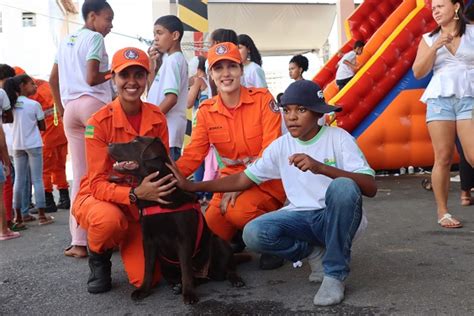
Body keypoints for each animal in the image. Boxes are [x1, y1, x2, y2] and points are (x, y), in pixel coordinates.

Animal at [108, 136, 244, 304]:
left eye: (135, 141)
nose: (109, 144)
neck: (160, 200)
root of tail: (206, 272)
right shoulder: (148, 240)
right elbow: (148, 267)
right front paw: (143, 290)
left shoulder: (184, 239)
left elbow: (185, 269)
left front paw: (189, 294)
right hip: (167, 266)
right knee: (193, 277)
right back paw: (179, 286)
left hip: (218, 242)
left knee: (228, 268)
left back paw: (235, 279)